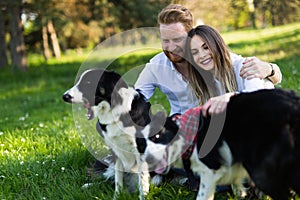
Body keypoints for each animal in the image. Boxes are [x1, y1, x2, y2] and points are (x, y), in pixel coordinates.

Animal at [63, 68, 152, 198]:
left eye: (88, 82)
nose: (64, 96)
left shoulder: (140, 149)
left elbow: (142, 181)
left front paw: (143, 197)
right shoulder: (115, 150)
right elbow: (118, 180)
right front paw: (117, 197)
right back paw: (88, 186)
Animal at [142, 89, 300, 200]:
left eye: (157, 136)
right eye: (141, 145)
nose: (148, 161)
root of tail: (292, 107)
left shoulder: (210, 170)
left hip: (262, 173)